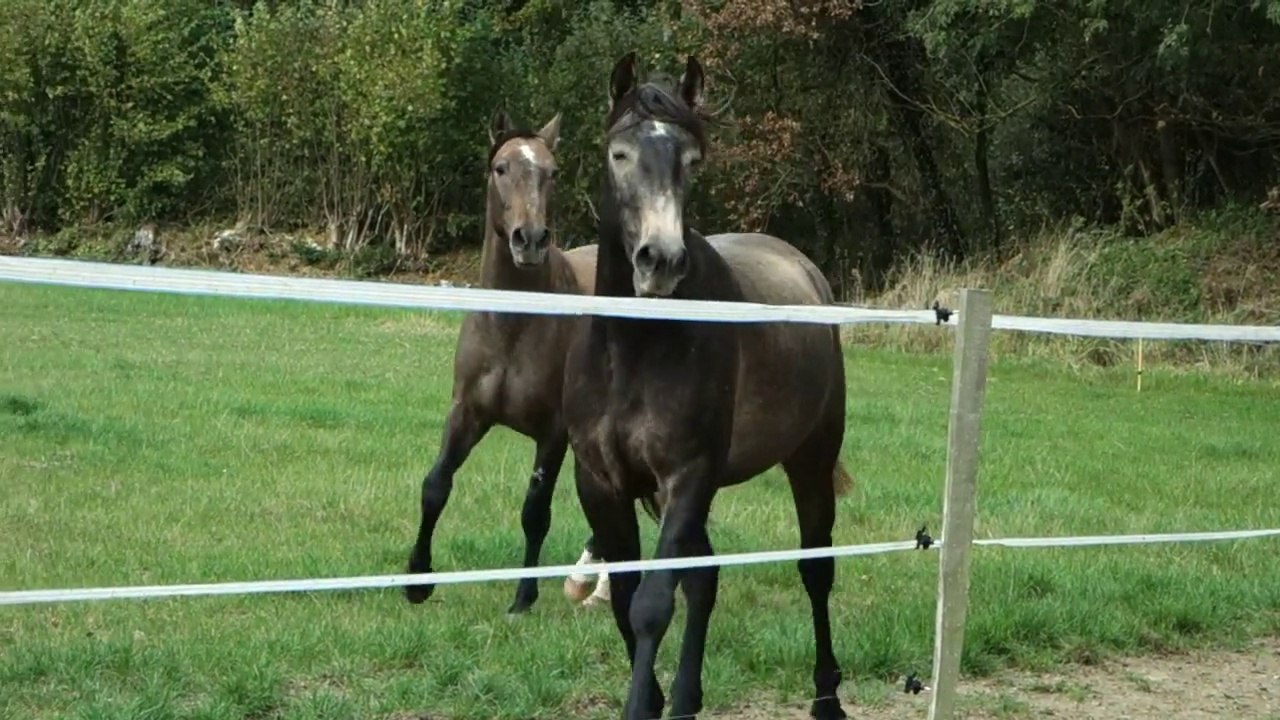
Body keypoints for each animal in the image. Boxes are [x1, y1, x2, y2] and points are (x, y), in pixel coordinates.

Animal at [403, 108, 609, 614]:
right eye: (501, 168)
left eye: (553, 172)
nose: (529, 239)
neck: (514, 325)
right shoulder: (466, 414)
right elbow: (435, 486)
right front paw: (416, 579)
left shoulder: (553, 433)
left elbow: (535, 512)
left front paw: (522, 597)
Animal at [561, 53, 853, 720]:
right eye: (619, 153)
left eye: (692, 160)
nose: (660, 261)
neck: (635, 349)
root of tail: (806, 269)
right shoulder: (602, 485)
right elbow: (627, 598)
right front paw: (658, 698)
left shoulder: (687, 475)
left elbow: (651, 606)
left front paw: (642, 704)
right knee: (706, 575)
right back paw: (688, 698)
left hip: (809, 459)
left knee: (815, 568)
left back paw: (827, 696)